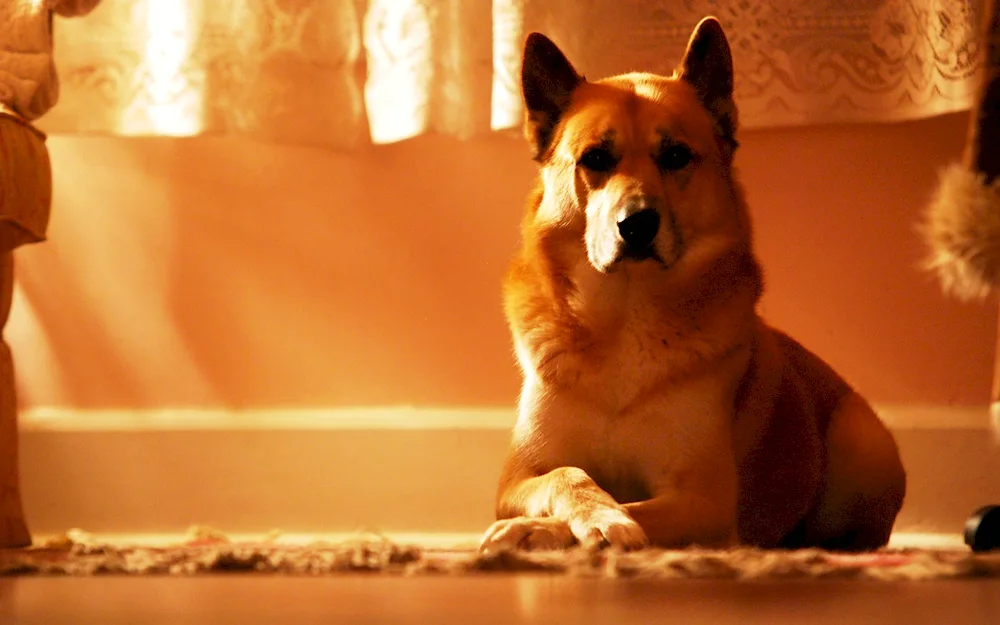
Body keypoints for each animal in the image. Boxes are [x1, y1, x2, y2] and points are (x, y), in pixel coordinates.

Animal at [480, 15, 912, 552]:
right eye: (596, 158)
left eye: (676, 155)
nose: (637, 224)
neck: (627, 317)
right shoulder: (516, 480)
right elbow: (568, 476)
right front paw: (561, 520)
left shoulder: (702, 504)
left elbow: (632, 508)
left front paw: (571, 525)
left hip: (860, 439)